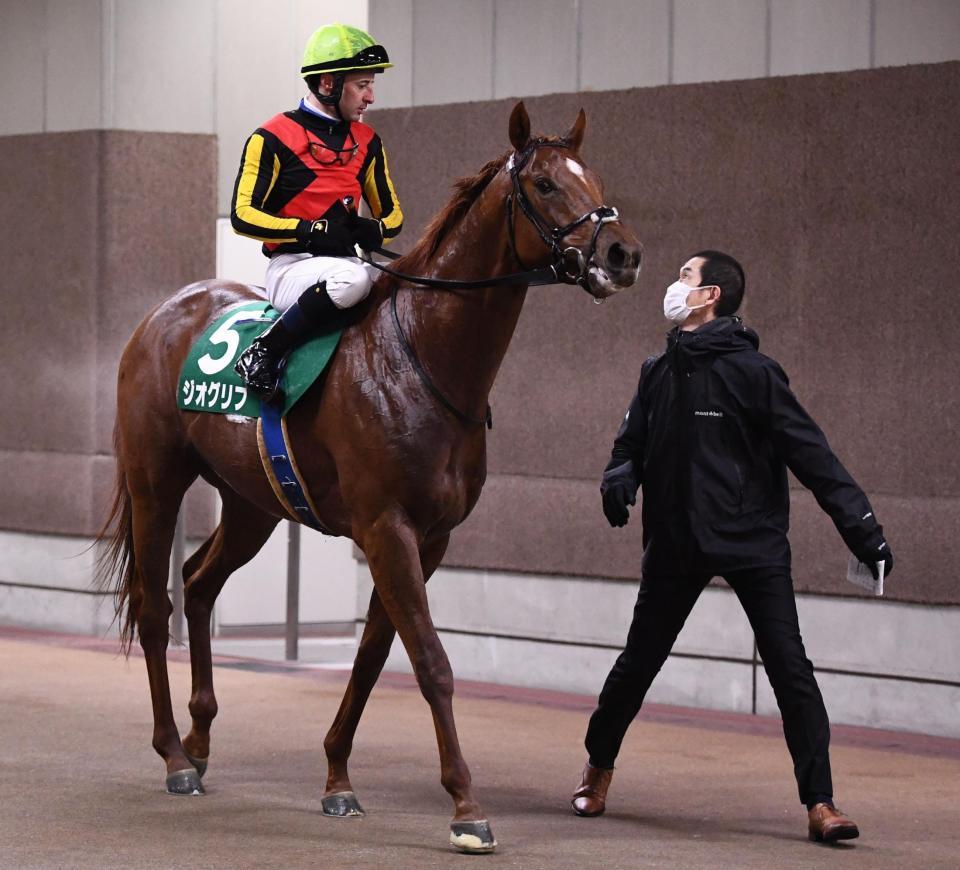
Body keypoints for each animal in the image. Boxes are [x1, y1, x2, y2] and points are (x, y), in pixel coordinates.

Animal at [97, 100, 640, 852]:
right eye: (546, 185)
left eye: (596, 178)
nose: (622, 254)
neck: (423, 357)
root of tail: (162, 314)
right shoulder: (388, 529)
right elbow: (432, 662)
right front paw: (466, 807)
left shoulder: (428, 538)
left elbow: (373, 657)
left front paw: (337, 780)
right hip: (157, 484)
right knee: (155, 610)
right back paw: (175, 757)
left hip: (252, 503)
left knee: (200, 584)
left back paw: (201, 741)